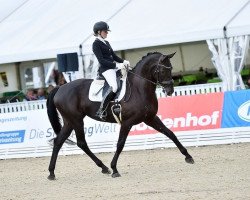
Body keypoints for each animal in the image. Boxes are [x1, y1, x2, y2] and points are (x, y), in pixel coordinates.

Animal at [47, 51, 194, 180]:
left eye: (171, 68)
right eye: (163, 70)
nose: (170, 91)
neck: (139, 89)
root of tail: (60, 88)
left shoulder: (150, 118)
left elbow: (170, 133)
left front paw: (188, 156)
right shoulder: (127, 122)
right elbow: (120, 144)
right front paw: (114, 169)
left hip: (69, 121)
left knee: (58, 141)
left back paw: (52, 173)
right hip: (76, 120)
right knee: (81, 143)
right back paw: (104, 167)